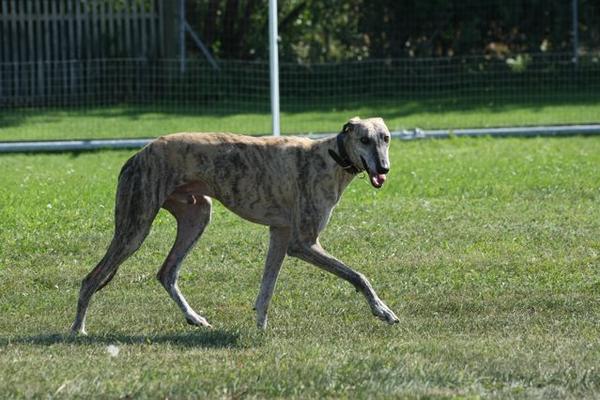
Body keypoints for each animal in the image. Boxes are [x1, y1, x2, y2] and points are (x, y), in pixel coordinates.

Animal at [71, 116, 398, 334]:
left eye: (386, 138)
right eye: (364, 139)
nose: (383, 169)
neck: (330, 157)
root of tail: (135, 156)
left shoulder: (280, 235)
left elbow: (266, 288)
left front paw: (260, 327)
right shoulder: (303, 243)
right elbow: (358, 275)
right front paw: (382, 310)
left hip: (197, 215)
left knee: (167, 273)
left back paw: (194, 317)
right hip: (135, 228)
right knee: (91, 278)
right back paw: (78, 329)